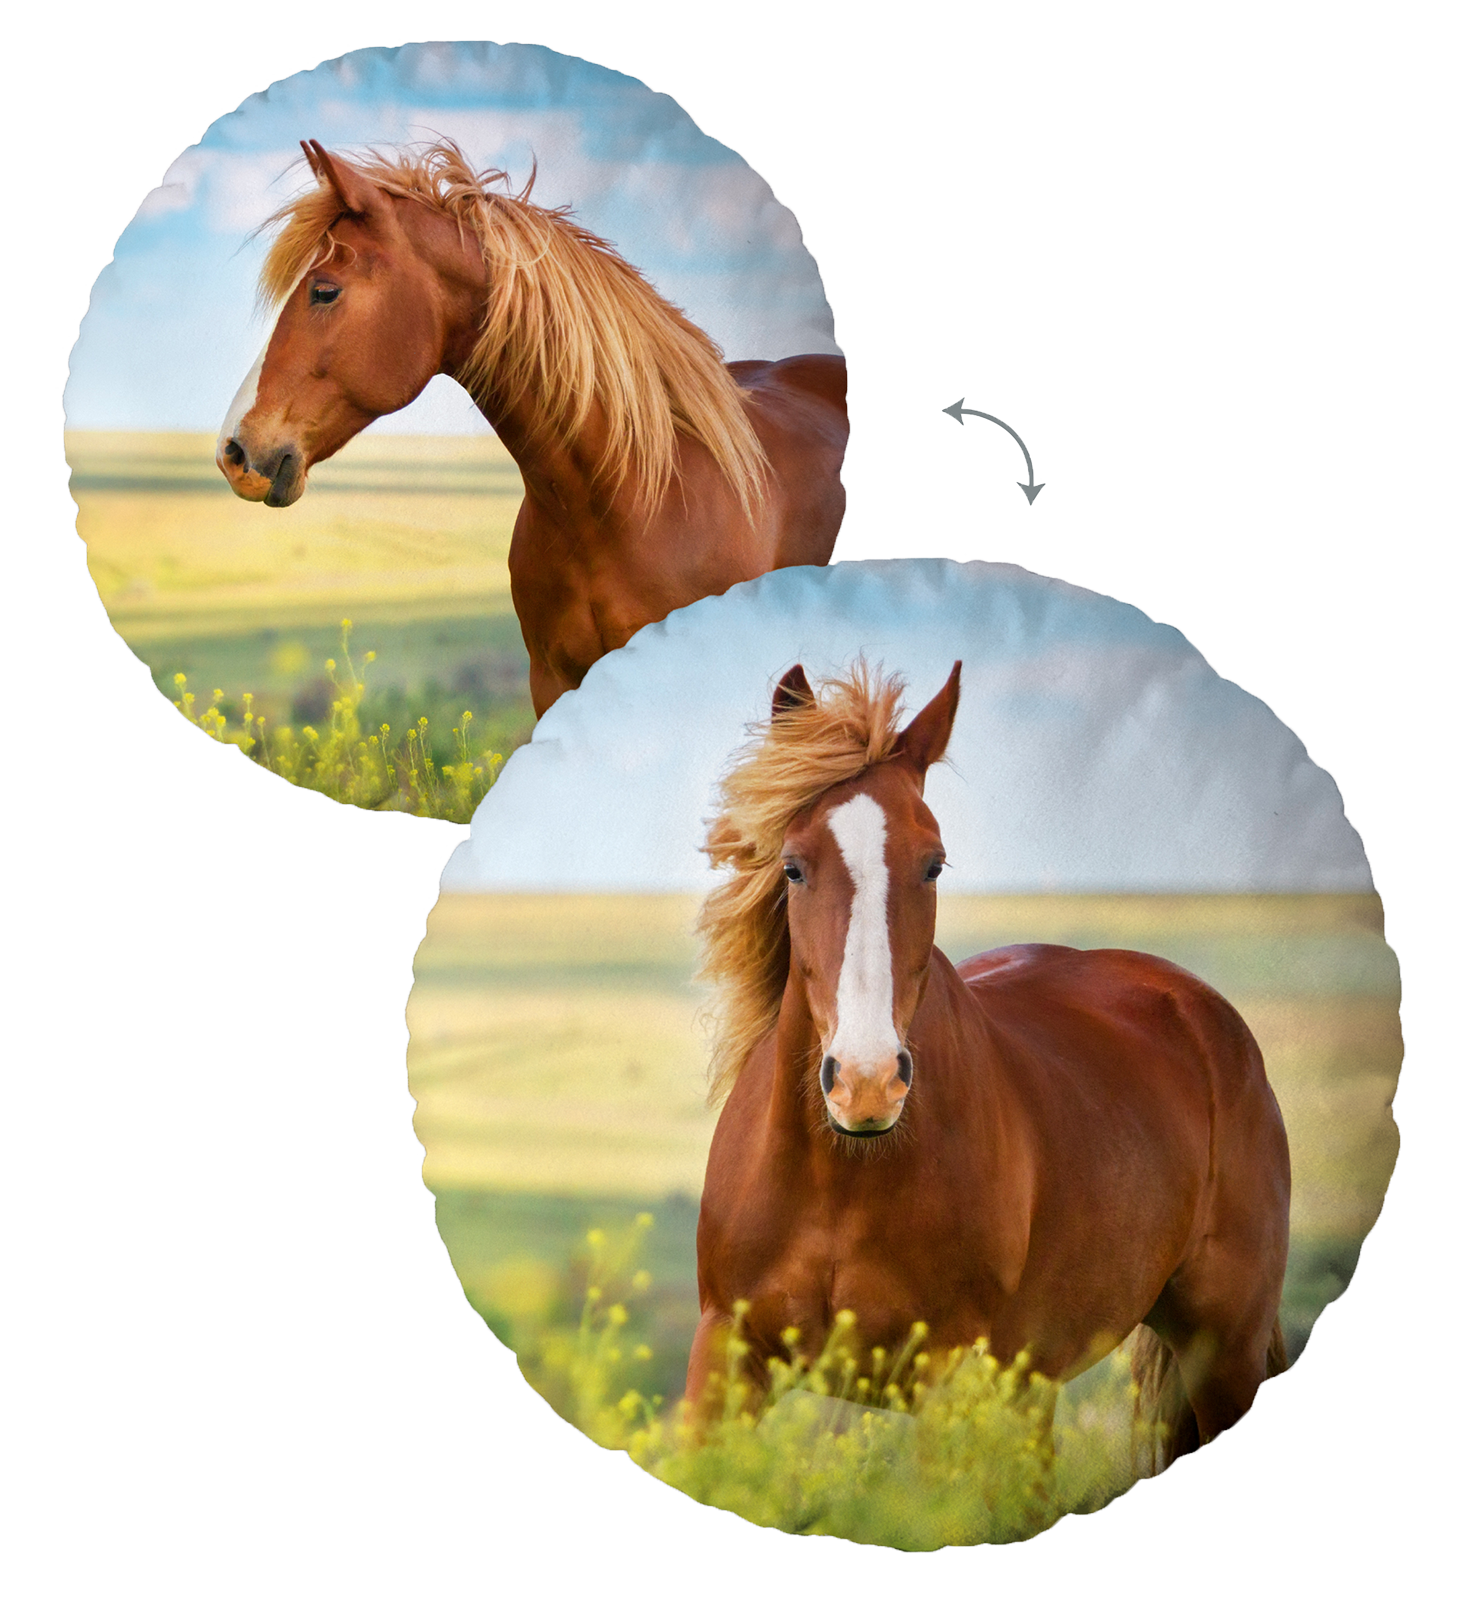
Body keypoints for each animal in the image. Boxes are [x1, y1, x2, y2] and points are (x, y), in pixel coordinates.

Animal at [687, 660, 1291, 1470]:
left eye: (933, 865)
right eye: (792, 867)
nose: (867, 1083)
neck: (841, 1178)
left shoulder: (949, 1378)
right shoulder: (724, 1354)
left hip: (1223, 1352)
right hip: (1037, 1384)